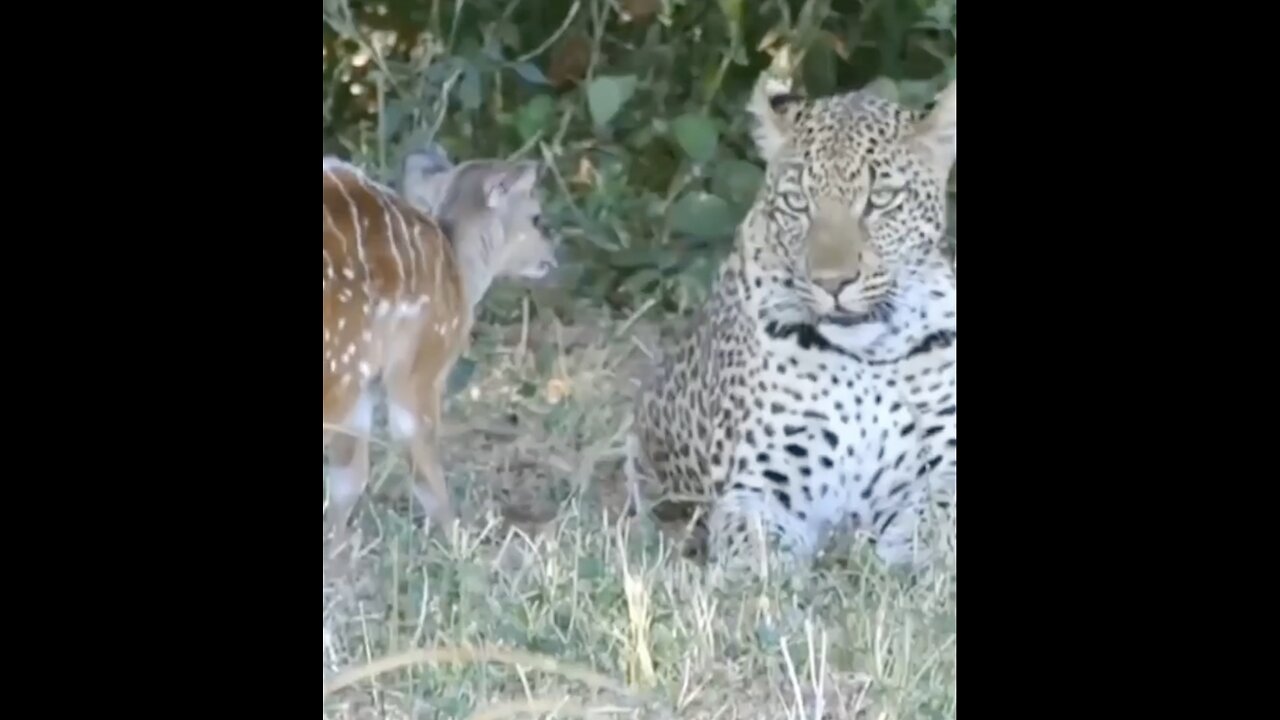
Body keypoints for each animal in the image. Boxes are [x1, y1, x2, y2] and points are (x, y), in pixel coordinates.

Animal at [624, 63, 957, 584]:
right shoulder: (764, 482)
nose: (832, 282)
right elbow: (751, 539)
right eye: (799, 203)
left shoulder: (945, 465)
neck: (866, 355)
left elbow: (937, 515)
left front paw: (911, 557)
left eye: (880, 200)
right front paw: (764, 582)